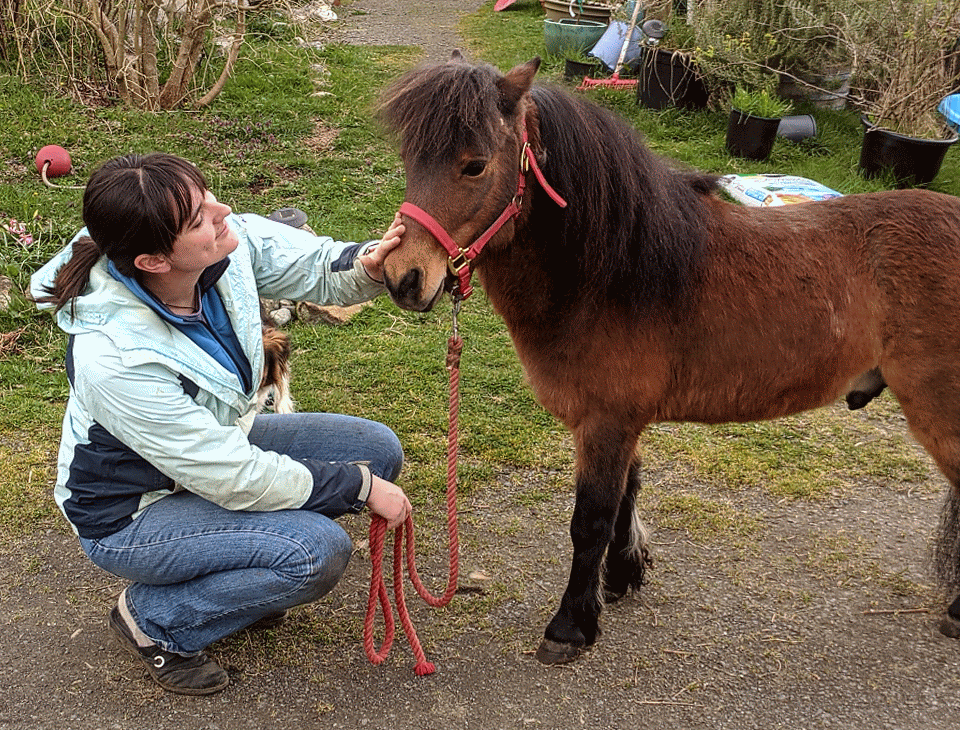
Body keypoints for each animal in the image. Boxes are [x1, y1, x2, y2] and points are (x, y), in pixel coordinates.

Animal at [377, 53, 960, 664]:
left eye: (474, 165)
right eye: (412, 158)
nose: (403, 278)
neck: (615, 270)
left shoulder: (607, 421)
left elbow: (591, 521)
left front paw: (569, 626)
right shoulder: (620, 422)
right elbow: (625, 497)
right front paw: (619, 578)